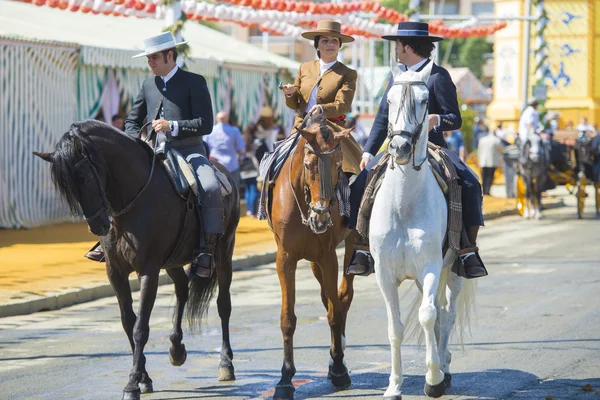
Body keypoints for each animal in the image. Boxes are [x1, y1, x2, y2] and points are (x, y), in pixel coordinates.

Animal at [33, 121, 239, 400]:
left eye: (85, 177)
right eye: (66, 189)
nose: (98, 226)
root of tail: (224, 172)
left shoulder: (148, 271)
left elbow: (141, 327)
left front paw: (131, 385)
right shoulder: (115, 273)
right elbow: (128, 323)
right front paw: (143, 378)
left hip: (223, 252)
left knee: (223, 305)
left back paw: (225, 363)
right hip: (173, 260)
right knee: (182, 289)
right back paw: (176, 349)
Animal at [268, 114, 356, 398]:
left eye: (339, 165)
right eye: (308, 165)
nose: (321, 217)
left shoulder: (329, 256)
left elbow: (335, 312)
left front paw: (339, 369)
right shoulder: (285, 258)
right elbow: (288, 318)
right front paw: (285, 379)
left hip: (350, 245)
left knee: (342, 297)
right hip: (313, 260)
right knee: (327, 297)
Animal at [368, 61, 476, 398]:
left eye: (425, 101)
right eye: (388, 100)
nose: (400, 147)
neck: (404, 205)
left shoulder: (430, 267)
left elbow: (428, 316)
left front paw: (433, 380)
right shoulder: (385, 274)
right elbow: (396, 327)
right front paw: (394, 385)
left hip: (452, 270)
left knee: (446, 312)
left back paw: (445, 367)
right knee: (439, 312)